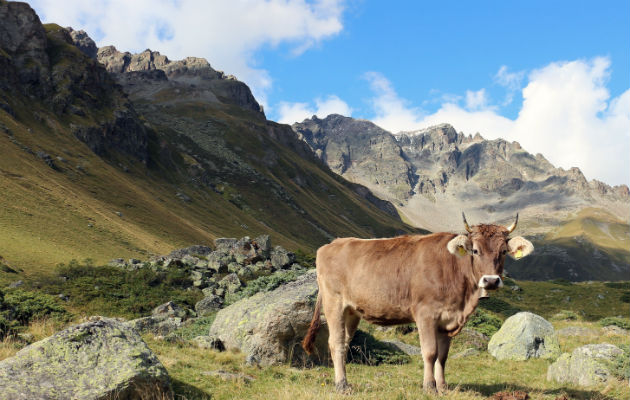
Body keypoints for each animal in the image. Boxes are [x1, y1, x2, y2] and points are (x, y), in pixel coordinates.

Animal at [304, 214, 536, 392]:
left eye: (503, 252)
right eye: (475, 251)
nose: (491, 281)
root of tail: (332, 244)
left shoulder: (447, 320)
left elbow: (442, 356)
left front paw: (443, 387)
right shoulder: (425, 314)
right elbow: (430, 352)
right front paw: (429, 386)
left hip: (352, 311)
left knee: (344, 343)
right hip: (334, 303)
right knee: (335, 343)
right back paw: (342, 385)